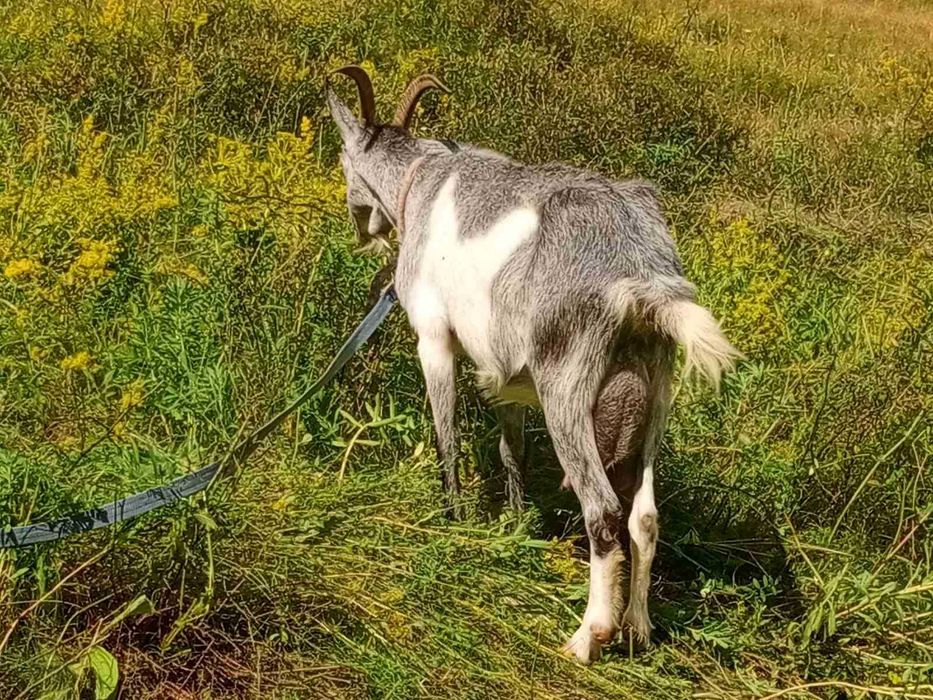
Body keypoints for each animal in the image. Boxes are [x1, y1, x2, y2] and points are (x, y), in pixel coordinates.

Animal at [325, 66, 740, 663]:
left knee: (603, 512)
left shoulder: (435, 339)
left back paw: (588, 637)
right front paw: (516, 522)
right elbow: (510, 448)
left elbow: (447, 436)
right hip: (656, 396)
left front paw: (454, 521)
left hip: (568, 388)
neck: (419, 179)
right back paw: (638, 628)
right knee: (644, 514)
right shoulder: (504, 377)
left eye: (341, 161)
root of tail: (641, 279)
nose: (365, 229)